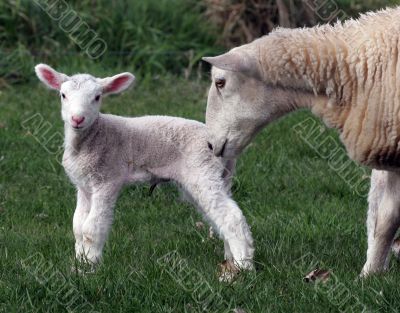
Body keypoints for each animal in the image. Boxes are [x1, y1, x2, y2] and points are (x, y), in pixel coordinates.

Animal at [34, 63, 253, 276]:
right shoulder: (84, 185)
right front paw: (78, 265)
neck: (92, 138)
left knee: (231, 217)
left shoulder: (107, 180)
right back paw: (230, 261)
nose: (77, 119)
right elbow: (78, 226)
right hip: (219, 175)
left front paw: (90, 268)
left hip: (202, 170)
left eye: (97, 97)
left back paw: (244, 266)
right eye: (63, 95)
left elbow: (92, 228)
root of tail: (221, 145)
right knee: (221, 216)